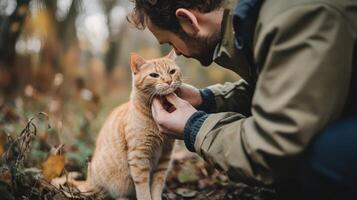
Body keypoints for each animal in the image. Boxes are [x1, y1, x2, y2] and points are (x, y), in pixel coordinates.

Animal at [74, 50, 181, 200]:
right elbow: (143, 186)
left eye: (172, 71)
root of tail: (89, 181)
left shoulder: (165, 155)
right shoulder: (139, 155)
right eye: (154, 75)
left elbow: (157, 183)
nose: (168, 81)